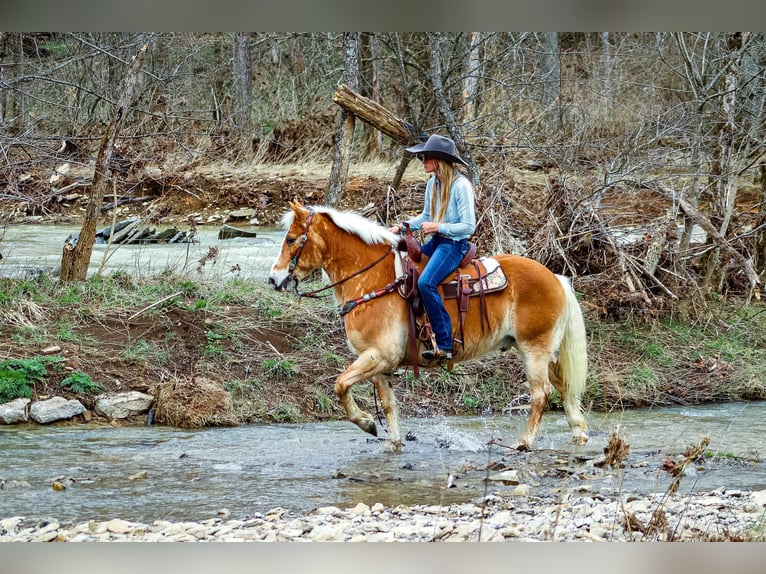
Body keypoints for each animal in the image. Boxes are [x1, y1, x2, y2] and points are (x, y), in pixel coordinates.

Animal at [268, 202, 592, 454]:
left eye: (292, 239)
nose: (274, 279)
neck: (373, 280)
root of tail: (555, 278)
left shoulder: (379, 355)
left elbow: (340, 384)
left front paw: (368, 424)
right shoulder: (377, 363)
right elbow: (387, 404)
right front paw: (392, 442)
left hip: (534, 349)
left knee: (541, 394)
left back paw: (524, 442)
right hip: (541, 351)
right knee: (564, 386)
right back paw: (578, 432)